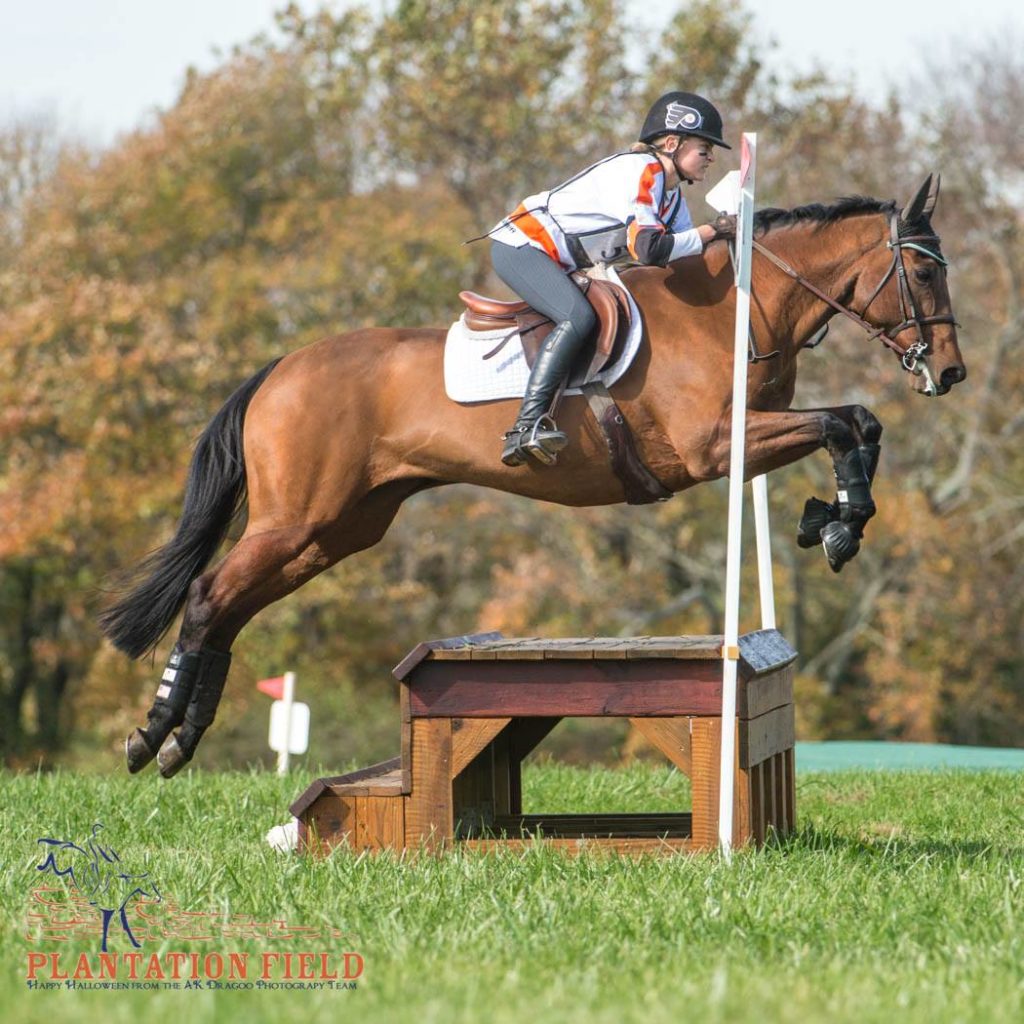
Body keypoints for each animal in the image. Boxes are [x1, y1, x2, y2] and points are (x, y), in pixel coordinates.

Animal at [99, 174, 965, 779]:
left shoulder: (747, 440)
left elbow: (858, 422)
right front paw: (837, 523)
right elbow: (840, 423)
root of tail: (279, 369)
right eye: (924, 276)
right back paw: (151, 736)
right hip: (296, 520)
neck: (738, 308)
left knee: (230, 608)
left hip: (335, 530)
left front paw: (834, 519)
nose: (951, 372)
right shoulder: (715, 447)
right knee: (209, 596)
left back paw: (179, 741)